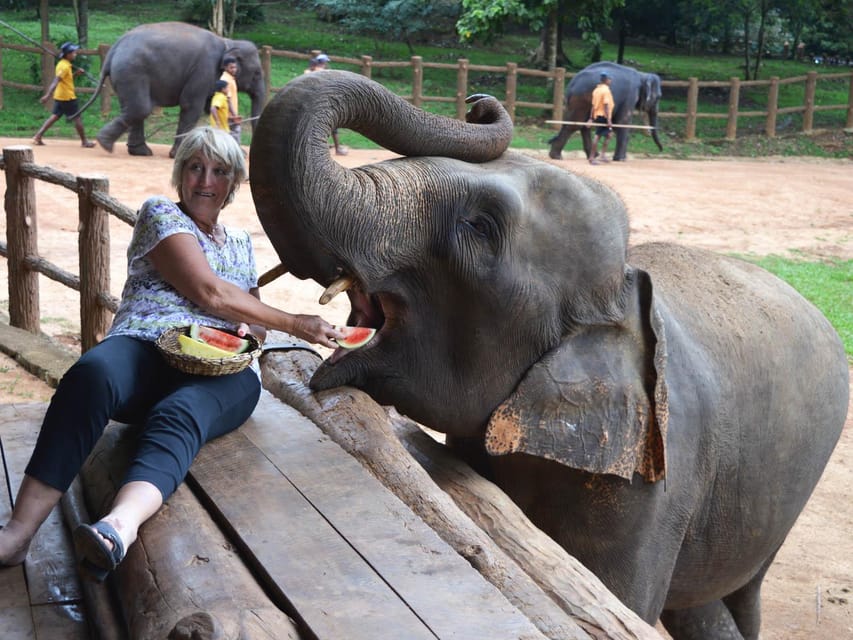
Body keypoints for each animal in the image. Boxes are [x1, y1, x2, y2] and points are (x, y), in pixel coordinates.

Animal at [80, 22, 268, 156]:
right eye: (257, 73)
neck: (227, 42)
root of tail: (113, 49)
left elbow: (210, 107)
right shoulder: (203, 69)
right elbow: (191, 106)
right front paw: (178, 155)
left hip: (125, 75)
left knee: (135, 109)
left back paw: (139, 151)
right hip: (132, 72)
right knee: (140, 108)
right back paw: (105, 143)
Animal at [246, 70, 844, 640]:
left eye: (480, 226)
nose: (477, 103)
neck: (622, 295)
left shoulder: (650, 483)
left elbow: (616, 597)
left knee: (743, 596)